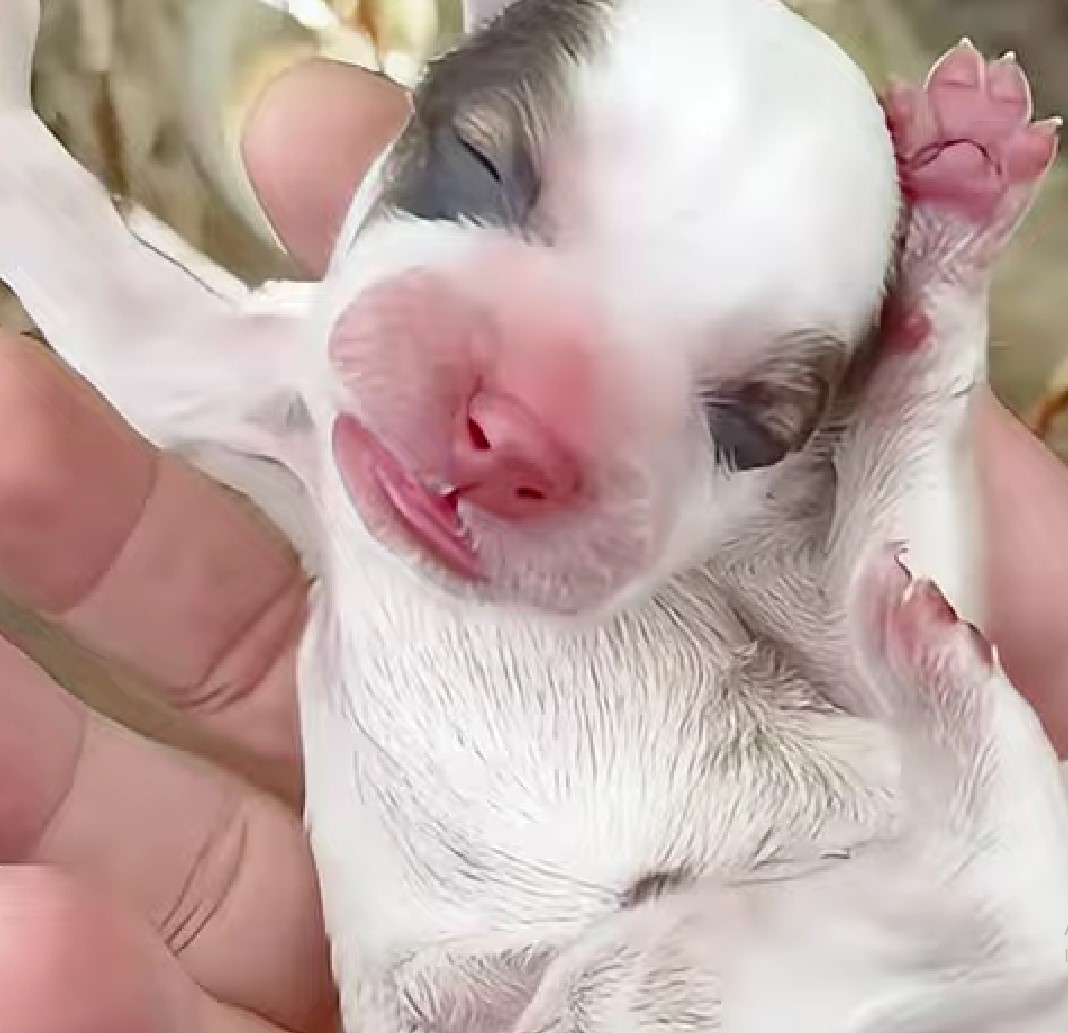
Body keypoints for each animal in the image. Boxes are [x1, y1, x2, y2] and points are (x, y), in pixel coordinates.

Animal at [2, 4, 1068, 1029]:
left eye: (751, 423)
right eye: (481, 164)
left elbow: (889, 562)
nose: (513, 434)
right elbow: (111, 300)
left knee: (1009, 897)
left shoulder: (794, 582)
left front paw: (948, 245)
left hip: (648, 979)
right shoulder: (256, 383)